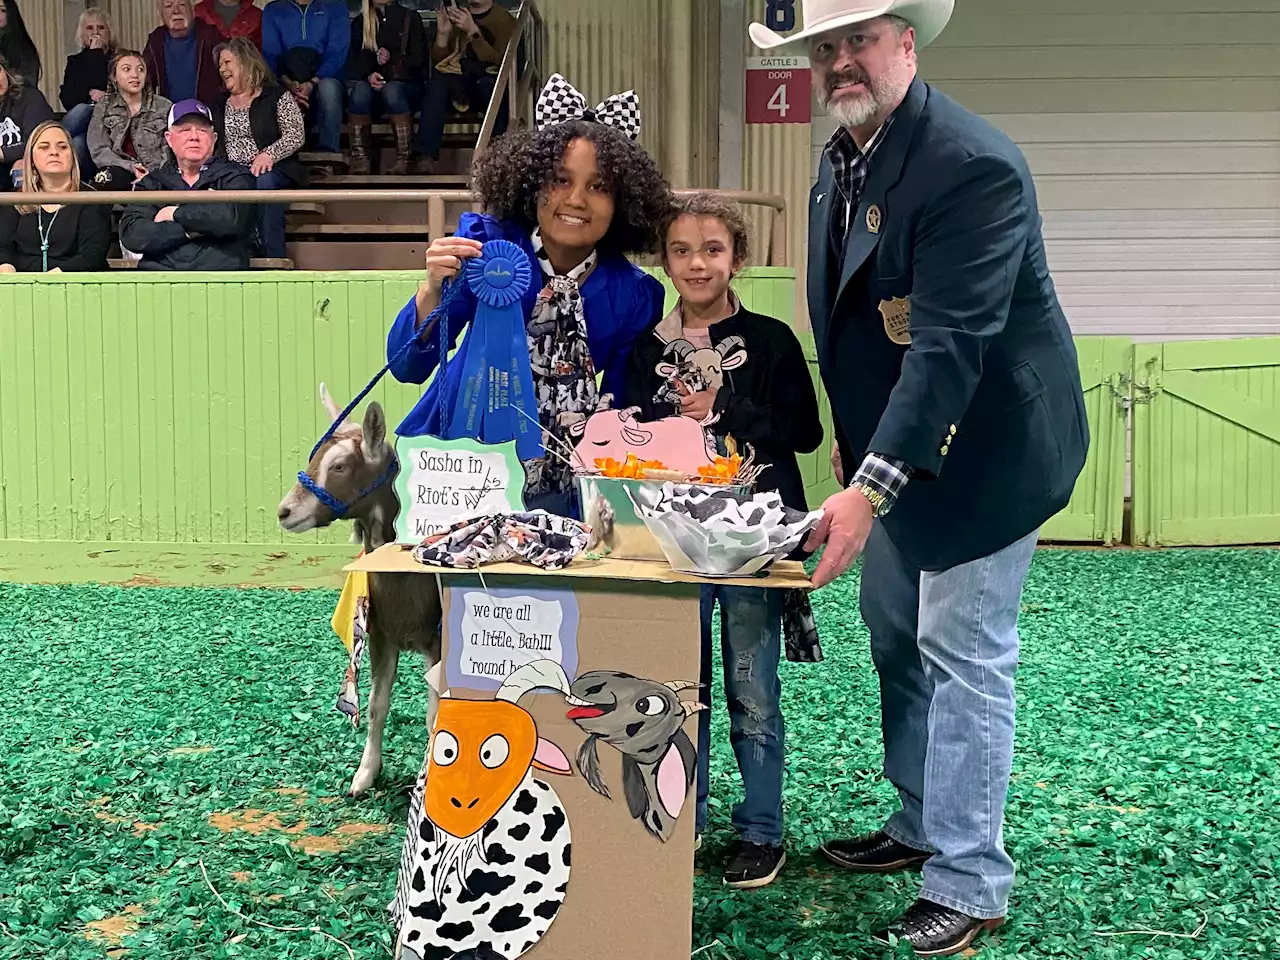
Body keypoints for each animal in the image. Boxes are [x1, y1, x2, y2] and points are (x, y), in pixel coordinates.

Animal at [276, 386, 445, 798]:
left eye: (339, 466)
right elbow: (375, 705)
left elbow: (434, 714)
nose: (284, 512)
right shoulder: (382, 636)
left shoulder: (438, 641)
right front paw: (365, 774)